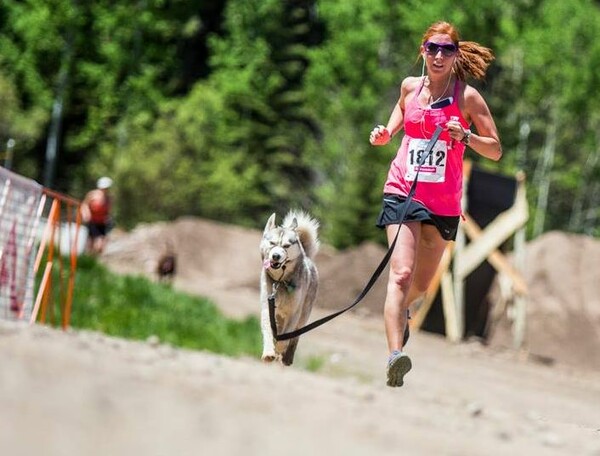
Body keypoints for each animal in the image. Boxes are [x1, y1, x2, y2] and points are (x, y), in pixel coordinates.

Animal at [260, 211, 322, 366]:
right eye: (272, 243)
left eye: (287, 245)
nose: (276, 256)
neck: (280, 282)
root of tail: (307, 257)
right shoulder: (267, 307)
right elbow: (268, 330)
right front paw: (269, 352)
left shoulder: (294, 313)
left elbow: (286, 338)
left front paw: (279, 349)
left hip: (304, 314)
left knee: (295, 336)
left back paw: (287, 357)